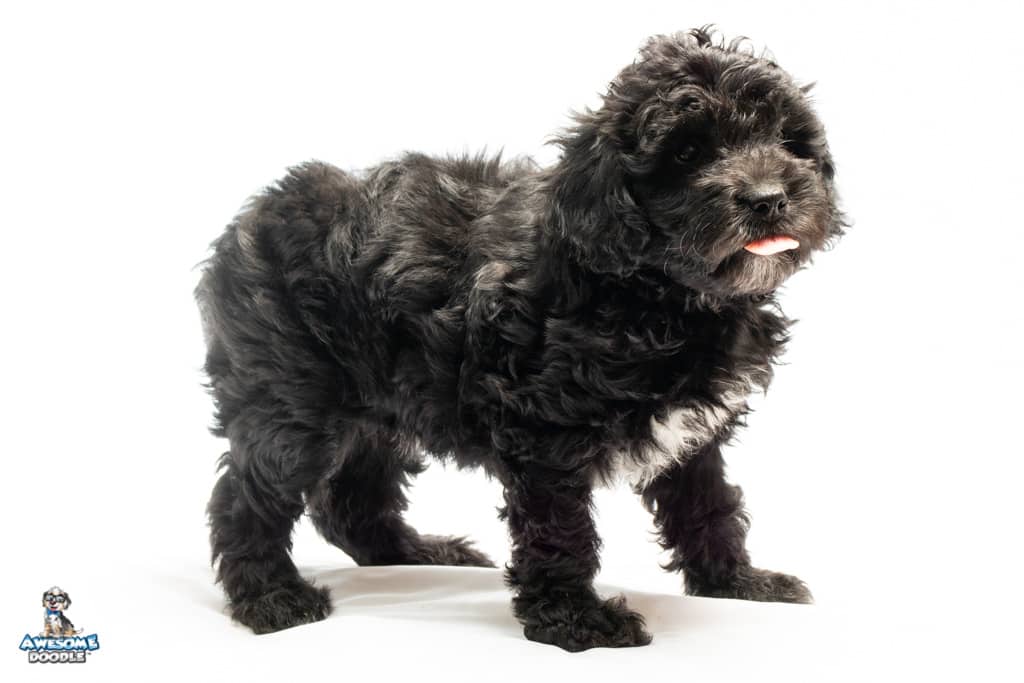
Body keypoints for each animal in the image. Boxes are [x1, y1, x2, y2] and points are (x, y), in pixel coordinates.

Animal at [197, 27, 843, 651]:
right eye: (687, 152)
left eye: (787, 142)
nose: (768, 199)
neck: (655, 291)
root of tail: (251, 217)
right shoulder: (543, 432)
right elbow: (561, 533)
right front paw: (576, 622)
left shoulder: (693, 433)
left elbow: (708, 506)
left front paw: (738, 584)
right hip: (289, 398)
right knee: (246, 496)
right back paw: (271, 599)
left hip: (383, 399)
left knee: (351, 499)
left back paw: (419, 553)